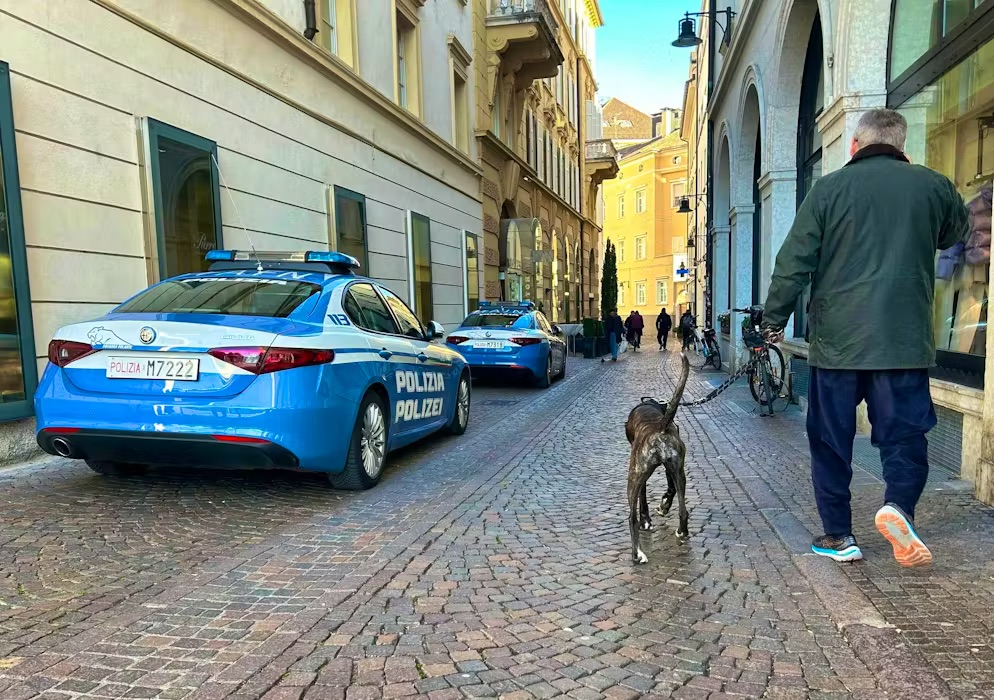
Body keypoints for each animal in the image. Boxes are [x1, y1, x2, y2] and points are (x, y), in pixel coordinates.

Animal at [624, 353, 690, 564]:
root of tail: (661, 426)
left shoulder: (640, 474)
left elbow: (642, 499)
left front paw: (646, 519)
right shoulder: (672, 468)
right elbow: (670, 490)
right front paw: (664, 505)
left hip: (634, 474)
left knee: (631, 517)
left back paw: (637, 554)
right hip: (678, 470)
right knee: (683, 510)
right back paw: (682, 532)